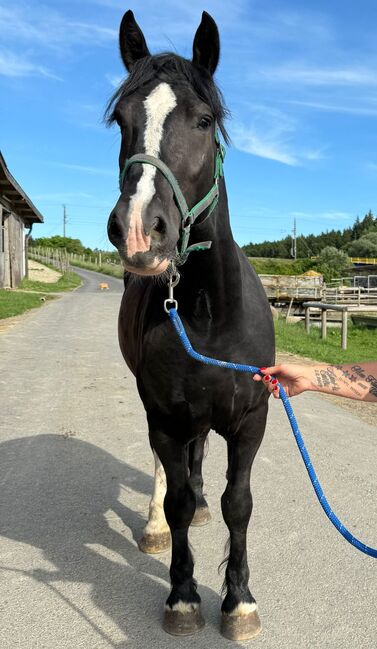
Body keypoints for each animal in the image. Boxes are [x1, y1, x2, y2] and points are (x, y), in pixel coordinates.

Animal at [106, 8, 274, 636]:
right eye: (122, 120)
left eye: (203, 121)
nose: (138, 229)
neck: (208, 314)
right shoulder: (166, 414)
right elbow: (175, 494)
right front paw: (182, 596)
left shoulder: (251, 420)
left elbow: (238, 504)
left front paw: (240, 601)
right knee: (166, 469)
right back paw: (156, 526)